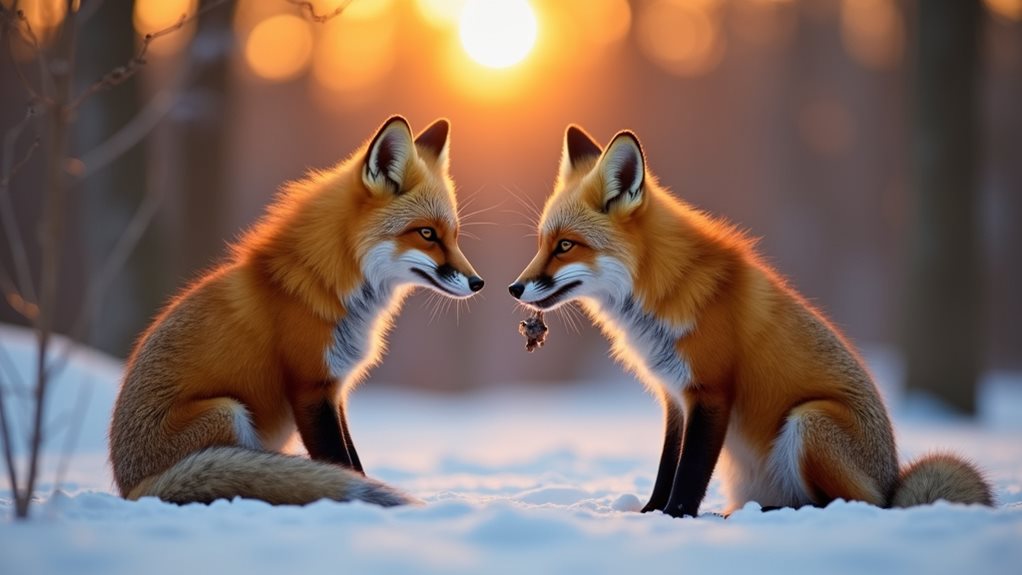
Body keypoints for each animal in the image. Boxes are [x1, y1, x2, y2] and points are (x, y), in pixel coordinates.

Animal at [109, 116, 484, 506]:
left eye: (454, 235)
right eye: (426, 234)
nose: (478, 283)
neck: (328, 285)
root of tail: (132, 489)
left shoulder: (335, 388)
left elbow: (352, 459)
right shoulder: (310, 387)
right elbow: (339, 461)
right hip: (226, 411)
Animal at [509, 125, 993, 517]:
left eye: (566, 245)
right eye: (542, 243)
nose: (514, 288)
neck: (661, 291)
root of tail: (892, 485)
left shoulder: (711, 391)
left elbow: (689, 475)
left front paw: (675, 519)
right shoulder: (674, 398)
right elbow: (666, 468)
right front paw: (648, 515)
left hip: (810, 420)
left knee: (850, 505)